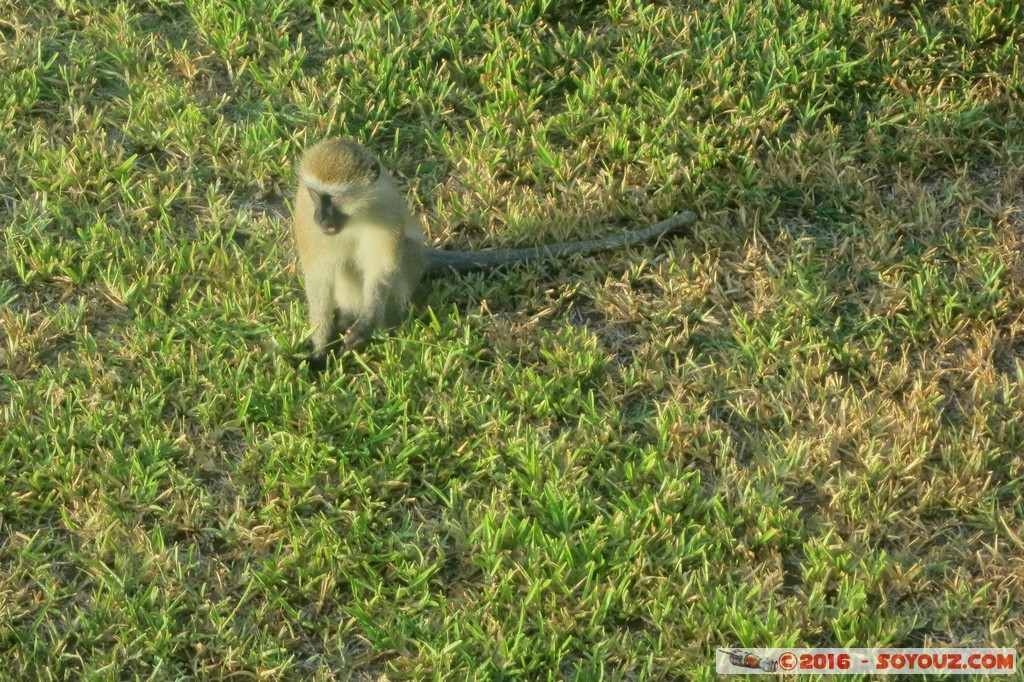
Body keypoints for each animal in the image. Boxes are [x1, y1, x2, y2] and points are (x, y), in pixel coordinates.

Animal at [293, 138, 697, 370]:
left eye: (335, 198)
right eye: (314, 195)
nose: (320, 217)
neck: (354, 216)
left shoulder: (386, 210)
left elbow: (381, 269)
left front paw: (367, 324)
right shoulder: (305, 219)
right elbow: (318, 279)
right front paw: (319, 349)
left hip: (411, 261)